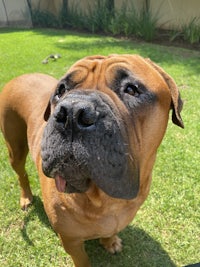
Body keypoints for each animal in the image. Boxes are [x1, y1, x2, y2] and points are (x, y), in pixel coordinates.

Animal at [0, 54, 184, 266]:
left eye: (132, 89)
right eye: (61, 90)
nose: (71, 112)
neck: (105, 199)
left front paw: (110, 241)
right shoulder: (71, 241)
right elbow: (82, 259)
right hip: (15, 147)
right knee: (21, 173)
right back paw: (26, 197)